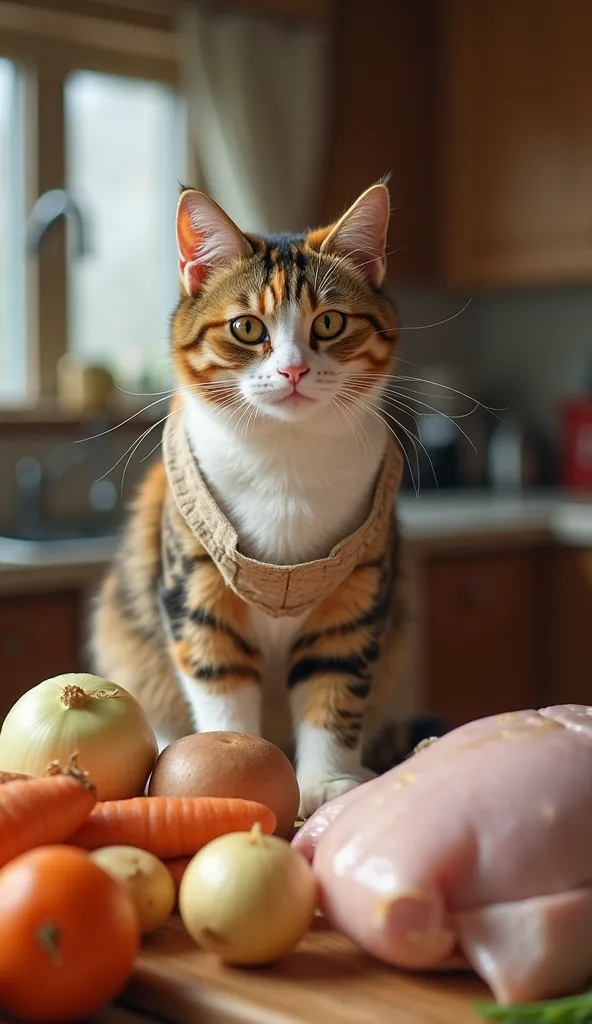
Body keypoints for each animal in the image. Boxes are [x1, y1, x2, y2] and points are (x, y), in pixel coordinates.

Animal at [90, 182, 407, 815]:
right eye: (246, 328)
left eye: (329, 322)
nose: (293, 370)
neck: (285, 459)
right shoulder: (195, 581)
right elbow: (221, 685)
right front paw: (228, 766)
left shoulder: (359, 582)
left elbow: (335, 683)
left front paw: (328, 783)